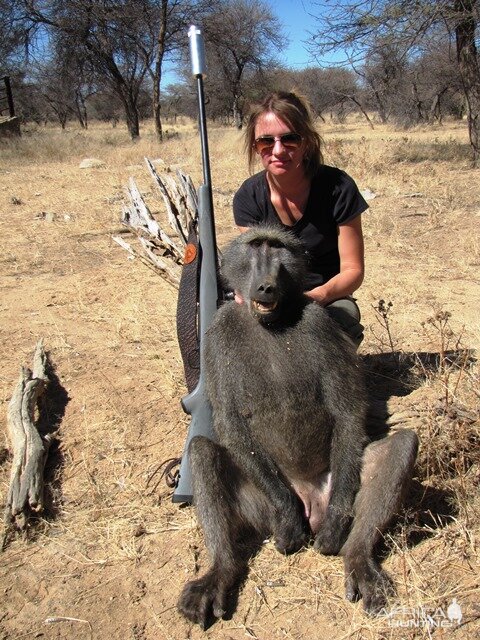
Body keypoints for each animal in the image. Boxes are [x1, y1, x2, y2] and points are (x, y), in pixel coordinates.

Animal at [177, 225, 419, 629]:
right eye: (255, 248)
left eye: (278, 250)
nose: (266, 286)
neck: (272, 323)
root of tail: (309, 498)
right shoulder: (218, 332)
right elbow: (228, 419)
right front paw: (288, 517)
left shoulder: (320, 323)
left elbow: (347, 411)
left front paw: (337, 524)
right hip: (261, 507)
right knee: (202, 450)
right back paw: (220, 572)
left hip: (335, 482)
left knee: (403, 446)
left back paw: (357, 559)